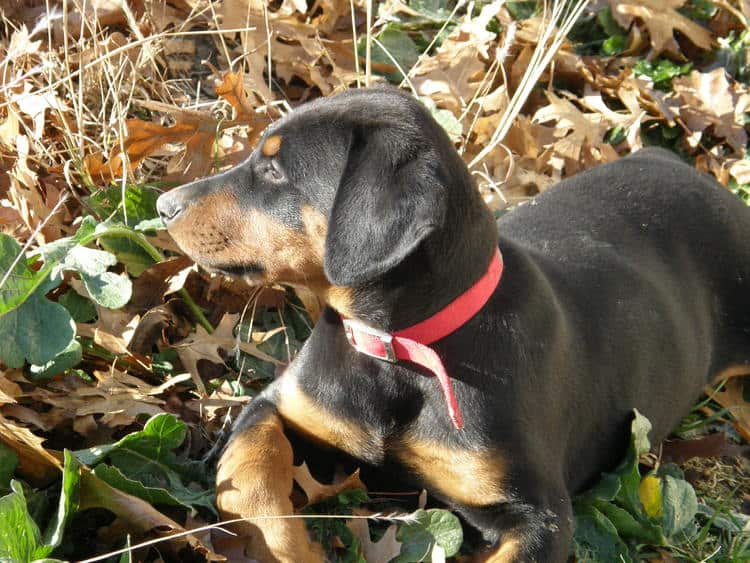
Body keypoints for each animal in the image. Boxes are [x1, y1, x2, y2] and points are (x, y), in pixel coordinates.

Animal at [156, 87, 750, 560]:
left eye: (275, 171)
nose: (163, 204)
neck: (396, 346)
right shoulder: (277, 404)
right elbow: (249, 475)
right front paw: (285, 547)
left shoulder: (540, 515)